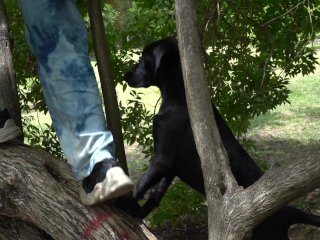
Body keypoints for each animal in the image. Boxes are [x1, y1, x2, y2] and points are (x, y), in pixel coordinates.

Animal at [123, 36, 320, 239]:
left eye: (143, 60)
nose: (124, 76)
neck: (178, 98)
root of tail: (289, 211)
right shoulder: (171, 166)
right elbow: (157, 191)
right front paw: (139, 211)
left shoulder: (163, 159)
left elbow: (141, 184)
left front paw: (123, 201)